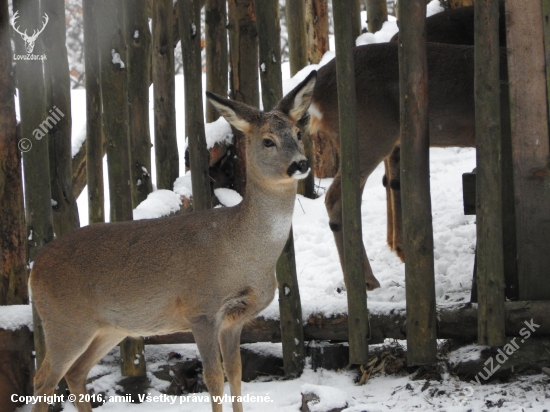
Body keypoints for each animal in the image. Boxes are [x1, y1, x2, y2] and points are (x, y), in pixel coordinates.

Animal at [29, 71, 320, 412]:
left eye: (299, 133)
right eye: (267, 141)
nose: (300, 164)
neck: (242, 251)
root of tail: (34, 268)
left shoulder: (235, 319)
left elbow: (236, 373)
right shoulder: (201, 310)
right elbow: (213, 377)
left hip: (108, 327)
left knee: (75, 373)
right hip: (64, 322)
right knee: (43, 379)